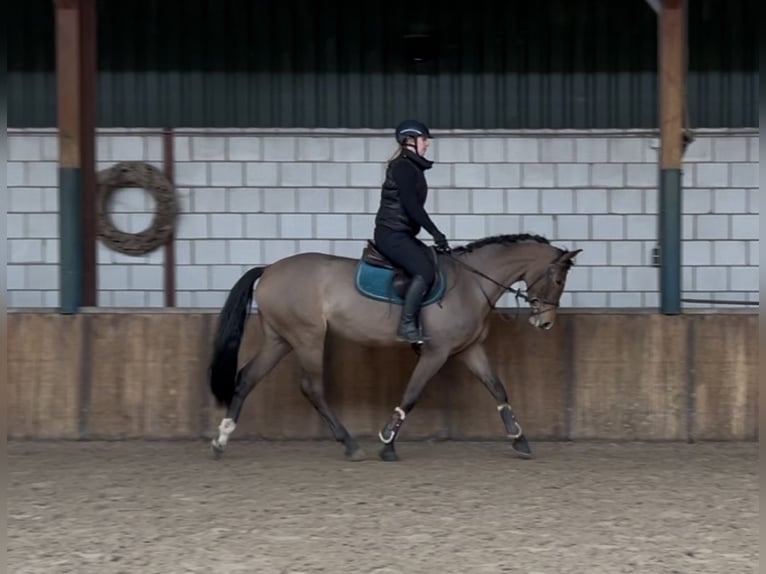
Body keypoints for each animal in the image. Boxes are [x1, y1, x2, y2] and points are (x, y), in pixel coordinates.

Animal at [207, 234, 580, 464]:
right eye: (559, 279)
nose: (545, 323)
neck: (472, 283)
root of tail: (269, 269)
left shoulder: (469, 350)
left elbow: (498, 388)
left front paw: (519, 439)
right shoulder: (436, 352)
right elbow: (412, 394)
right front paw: (387, 442)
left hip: (280, 339)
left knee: (246, 378)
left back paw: (221, 440)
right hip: (307, 337)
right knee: (311, 387)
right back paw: (350, 445)